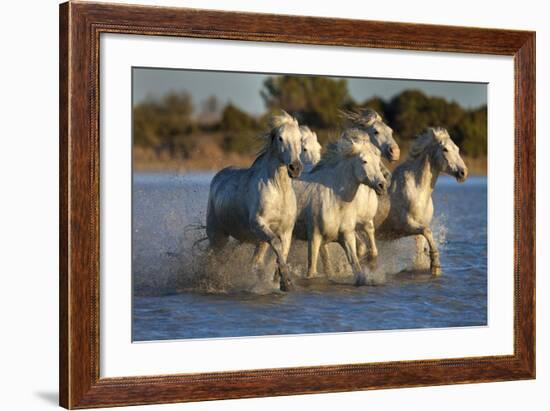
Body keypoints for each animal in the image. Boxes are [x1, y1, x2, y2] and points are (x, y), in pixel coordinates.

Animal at [207, 111, 304, 292]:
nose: (295, 168)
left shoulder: (286, 230)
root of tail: (218, 177)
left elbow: (283, 251)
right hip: (218, 236)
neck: (278, 190)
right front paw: (286, 281)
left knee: (252, 261)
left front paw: (281, 281)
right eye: (280, 138)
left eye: (300, 138)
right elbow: (276, 244)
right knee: (217, 259)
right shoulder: (259, 224)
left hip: (250, 239)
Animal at [294, 137, 388, 284]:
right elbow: (311, 271)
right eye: (364, 161)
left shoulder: (347, 235)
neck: (334, 198)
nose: (382, 185)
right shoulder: (314, 237)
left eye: (378, 160)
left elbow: (357, 266)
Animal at [380, 127, 470, 276]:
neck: (418, 192)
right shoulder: (405, 225)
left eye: (457, 148)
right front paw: (435, 265)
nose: (463, 173)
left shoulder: (418, 230)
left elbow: (421, 246)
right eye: (445, 149)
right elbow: (428, 232)